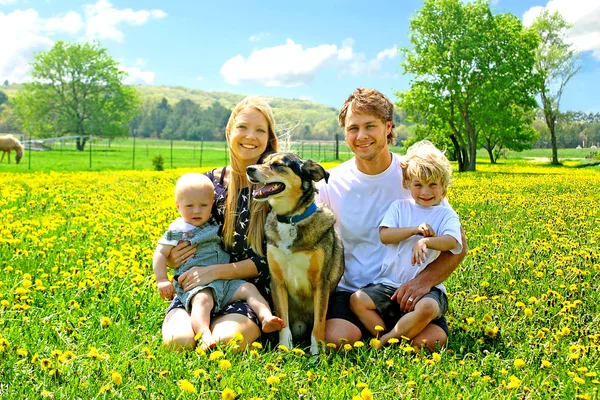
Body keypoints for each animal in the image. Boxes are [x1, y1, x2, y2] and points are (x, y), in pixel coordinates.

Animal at [247, 152, 342, 354]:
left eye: (277, 165)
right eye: (263, 162)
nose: (248, 169)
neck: (291, 219)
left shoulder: (321, 283)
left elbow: (319, 324)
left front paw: (317, 353)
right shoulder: (277, 281)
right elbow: (283, 322)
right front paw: (285, 349)